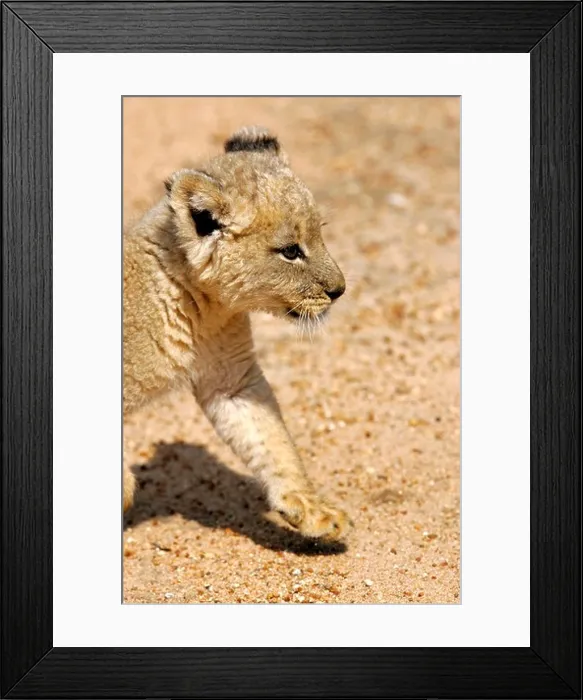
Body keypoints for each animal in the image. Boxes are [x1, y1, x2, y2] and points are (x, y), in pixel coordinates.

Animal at [123, 126, 351, 541]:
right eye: (290, 251)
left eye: (320, 234)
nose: (339, 291)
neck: (202, 308)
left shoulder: (232, 380)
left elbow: (271, 439)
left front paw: (311, 509)